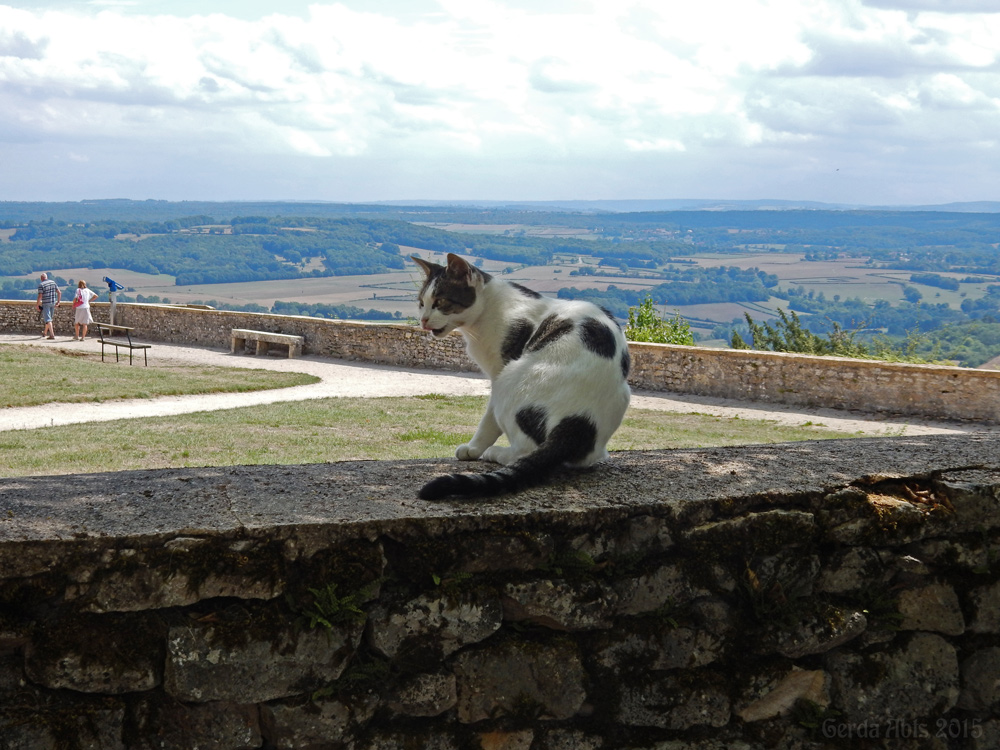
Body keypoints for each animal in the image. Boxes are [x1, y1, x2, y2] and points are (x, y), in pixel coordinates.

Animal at [410, 256, 628, 502]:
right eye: (421, 303)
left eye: (440, 302)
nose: (423, 320)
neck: (487, 310)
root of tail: (579, 423)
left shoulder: (498, 372)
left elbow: (488, 421)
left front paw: (473, 448)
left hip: (509, 380)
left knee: (523, 450)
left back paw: (495, 453)